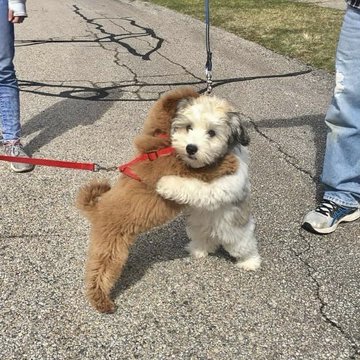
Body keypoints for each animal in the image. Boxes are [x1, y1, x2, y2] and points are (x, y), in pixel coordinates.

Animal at [156, 95, 260, 270]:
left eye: (212, 133)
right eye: (188, 127)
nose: (191, 148)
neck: (210, 164)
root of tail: (215, 233)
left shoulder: (223, 185)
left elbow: (196, 187)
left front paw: (166, 183)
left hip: (237, 234)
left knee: (245, 246)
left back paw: (250, 262)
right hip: (197, 228)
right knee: (204, 241)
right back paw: (198, 249)